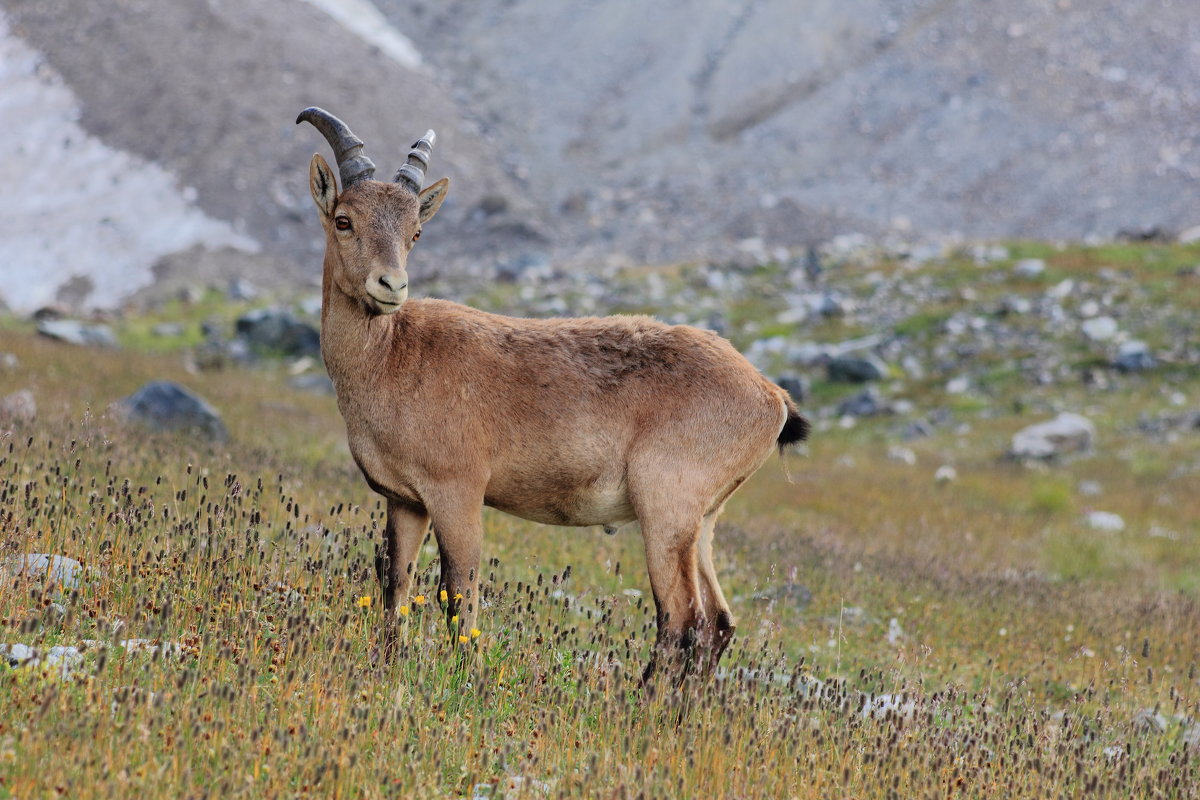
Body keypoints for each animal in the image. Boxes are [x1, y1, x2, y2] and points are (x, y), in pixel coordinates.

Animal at [295, 109, 811, 681]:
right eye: (344, 220)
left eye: (415, 231)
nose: (391, 287)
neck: (393, 358)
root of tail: (771, 397)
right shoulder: (405, 501)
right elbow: (395, 583)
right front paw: (387, 667)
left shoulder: (457, 491)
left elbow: (459, 591)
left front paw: (467, 679)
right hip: (704, 520)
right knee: (717, 623)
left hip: (666, 503)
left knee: (682, 620)